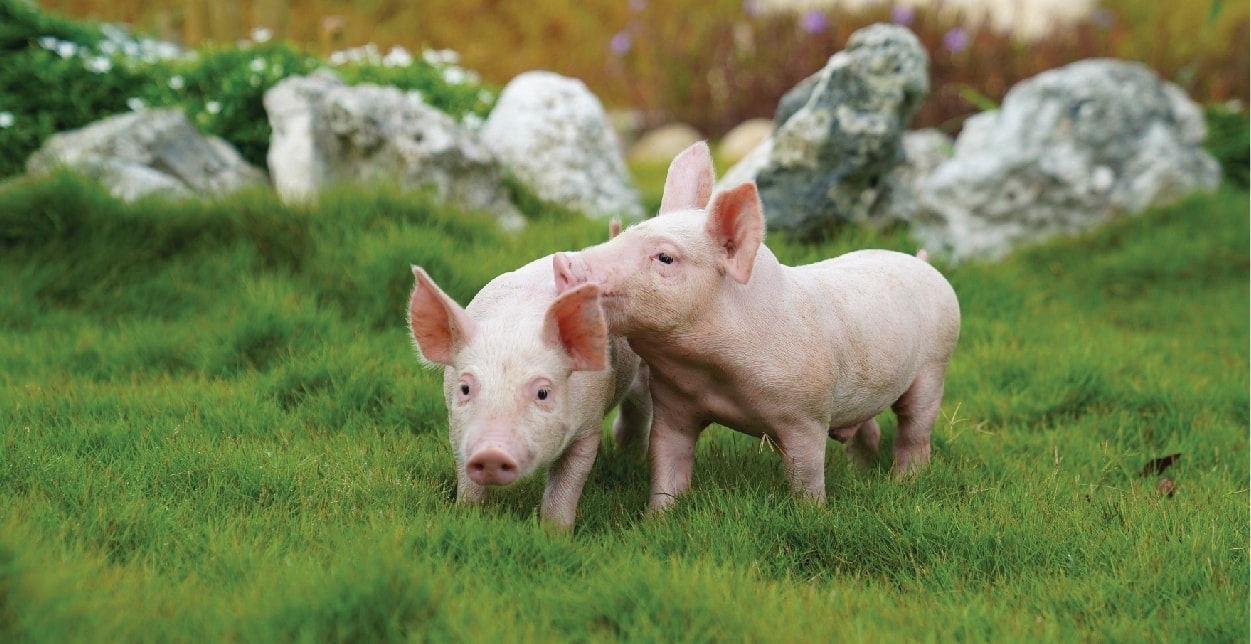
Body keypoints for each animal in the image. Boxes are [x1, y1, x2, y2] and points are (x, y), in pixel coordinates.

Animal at [407, 251, 652, 531]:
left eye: (542, 392)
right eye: (465, 388)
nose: (491, 453)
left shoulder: (589, 425)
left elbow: (568, 483)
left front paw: (555, 532)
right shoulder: (458, 430)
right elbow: (468, 482)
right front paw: (467, 515)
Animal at [553, 141, 960, 512]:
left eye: (665, 257)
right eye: (623, 234)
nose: (563, 263)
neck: (716, 375)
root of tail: (924, 263)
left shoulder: (807, 414)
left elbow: (806, 474)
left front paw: (812, 514)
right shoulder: (673, 406)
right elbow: (667, 463)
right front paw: (657, 519)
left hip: (935, 364)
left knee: (914, 428)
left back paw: (904, 481)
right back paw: (859, 472)